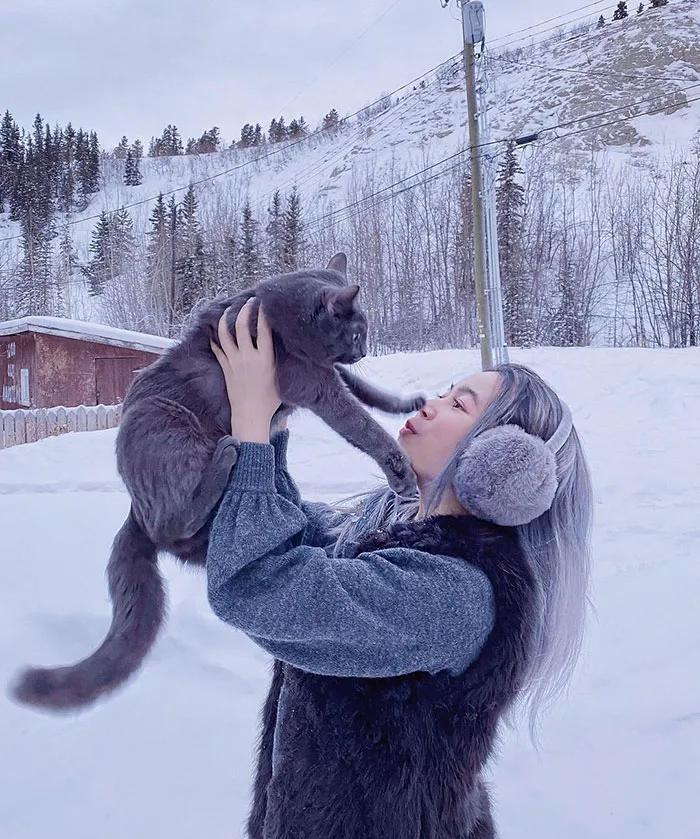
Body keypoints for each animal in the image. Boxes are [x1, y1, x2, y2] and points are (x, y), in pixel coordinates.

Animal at [10, 253, 424, 712]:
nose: (364, 349)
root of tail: (136, 512)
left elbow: (363, 389)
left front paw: (405, 402)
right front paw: (401, 472)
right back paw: (227, 457)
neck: (284, 318)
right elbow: (361, 423)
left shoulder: (325, 372)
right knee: (174, 521)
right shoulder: (308, 379)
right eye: (356, 331)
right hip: (169, 427)